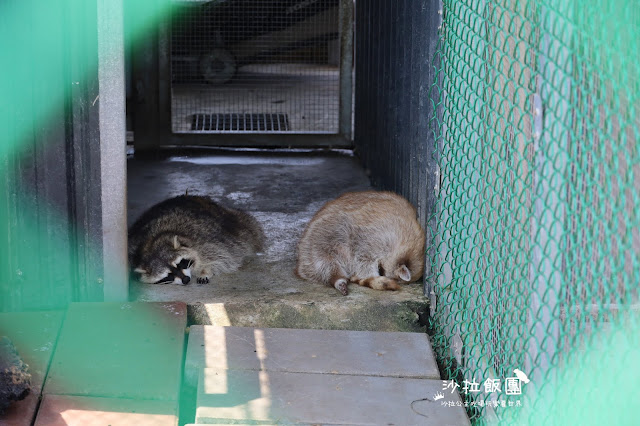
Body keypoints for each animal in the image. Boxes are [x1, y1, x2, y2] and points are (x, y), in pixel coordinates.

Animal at [129, 195, 264, 284]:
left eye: (179, 263)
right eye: (168, 275)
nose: (186, 279)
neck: (150, 243)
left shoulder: (203, 241)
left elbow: (224, 257)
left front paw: (206, 271)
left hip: (237, 223)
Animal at [296, 191, 424, 294]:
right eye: (382, 270)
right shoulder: (374, 236)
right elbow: (363, 257)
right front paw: (370, 275)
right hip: (320, 239)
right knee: (325, 263)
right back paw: (337, 278)